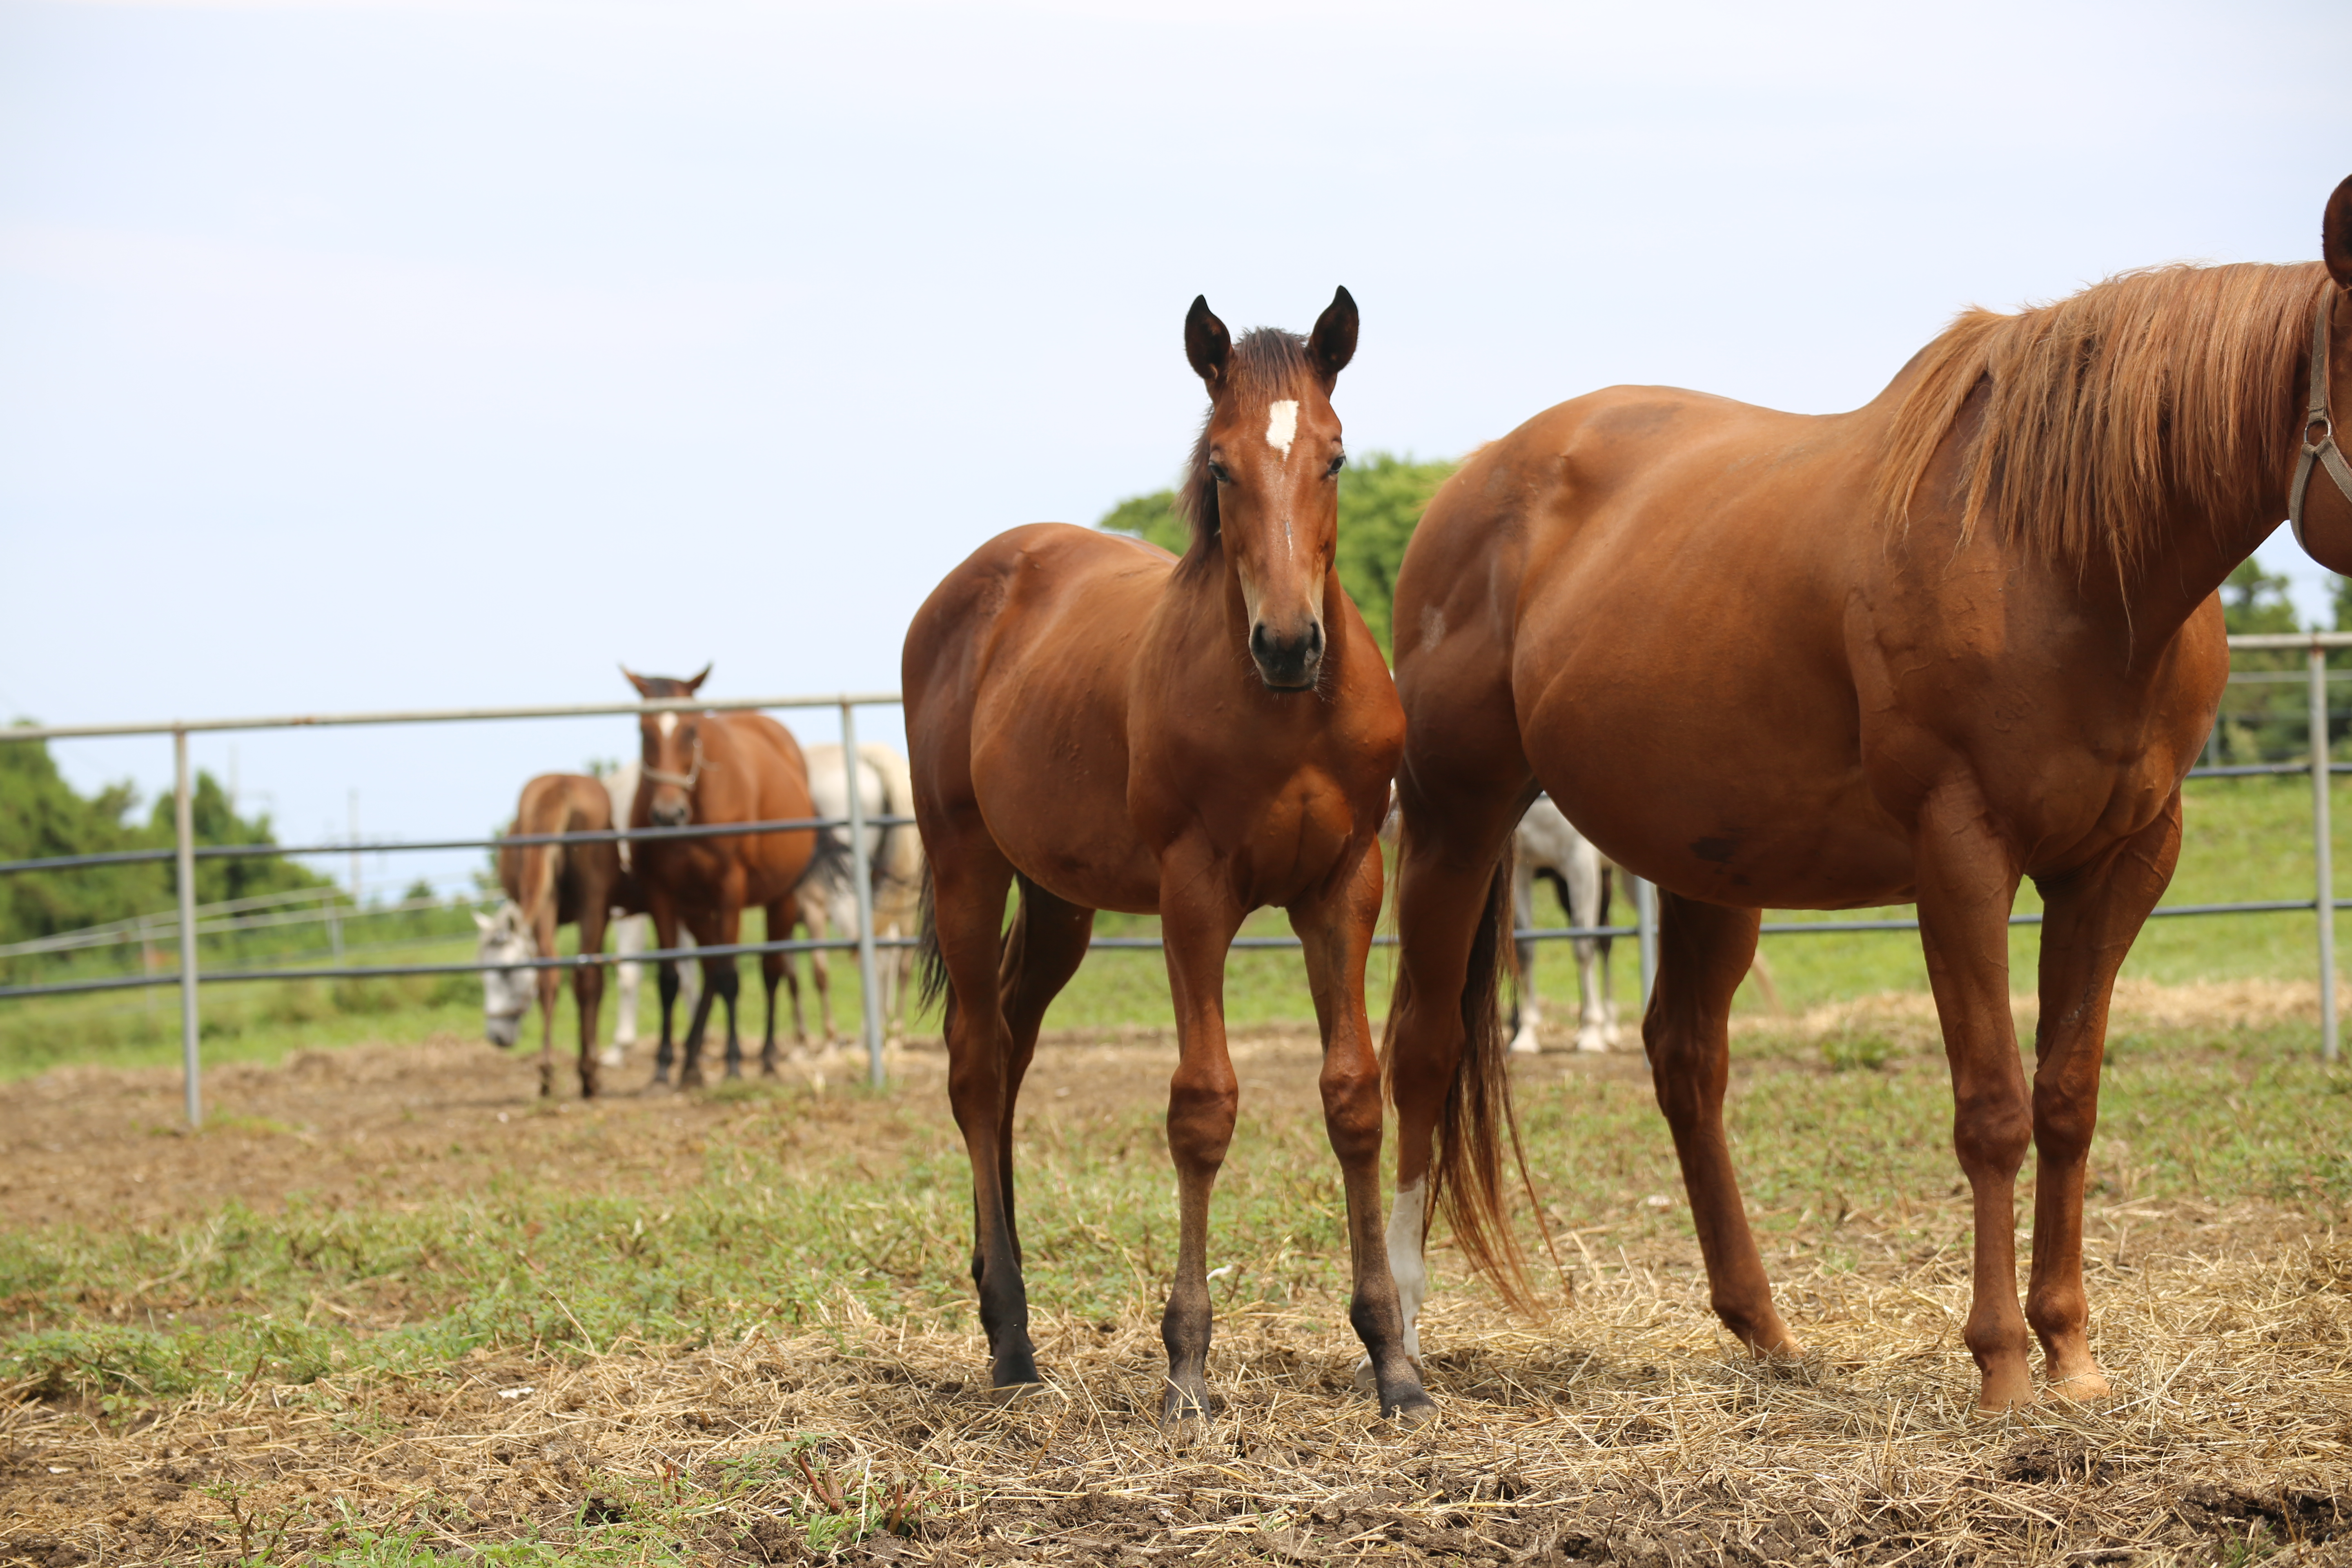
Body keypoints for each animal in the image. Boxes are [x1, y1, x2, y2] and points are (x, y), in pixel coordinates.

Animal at [621, 668, 823, 1091]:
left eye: (691, 730)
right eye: (644, 730)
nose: (668, 814)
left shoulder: (731, 890)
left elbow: (732, 975)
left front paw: (732, 1062)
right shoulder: (661, 896)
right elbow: (669, 980)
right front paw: (663, 1066)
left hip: (782, 898)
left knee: (770, 971)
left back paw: (766, 1057)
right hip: (697, 910)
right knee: (711, 971)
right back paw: (691, 1063)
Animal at [903, 288, 1430, 1429]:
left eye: (1334, 456)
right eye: (1220, 466)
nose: (1289, 644)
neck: (1284, 716)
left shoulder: (1345, 887)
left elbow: (1353, 1096)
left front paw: (1392, 1360)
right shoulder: (1195, 894)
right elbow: (1202, 1104)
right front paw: (1185, 1364)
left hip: (1059, 901)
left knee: (1009, 1048)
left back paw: (1002, 1293)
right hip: (966, 861)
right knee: (975, 1064)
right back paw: (1012, 1341)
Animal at [1383, 177, 2352, 1420]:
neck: (2061, 555)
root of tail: (1474, 480)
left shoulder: (2121, 863)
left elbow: (2067, 1100)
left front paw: (2072, 1355)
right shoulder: (1961, 852)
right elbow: (1991, 1108)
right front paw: (2000, 1369)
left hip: (1704, 869)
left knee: (1683, 1060)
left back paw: (1764, 1328)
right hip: (1454, 817)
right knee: (1418, 1050)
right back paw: (1395, 1339)